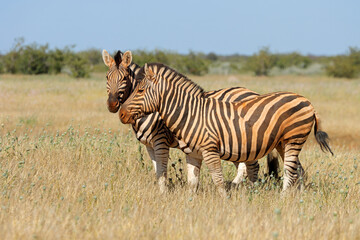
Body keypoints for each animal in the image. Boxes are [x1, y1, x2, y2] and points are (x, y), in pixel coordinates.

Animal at [119, 63, 334, 197]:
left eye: (140, 91)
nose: (121, 113)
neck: (191, 114)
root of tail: (307, 101)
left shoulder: (209, 150)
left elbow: (218, 179)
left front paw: (224, 202)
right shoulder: (193, 154)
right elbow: (192, 182)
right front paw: (189, 205)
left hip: (293, 138)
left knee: (290, 170)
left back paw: (282, 199)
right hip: (282, 143)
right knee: (298, 169)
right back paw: (298, 197)